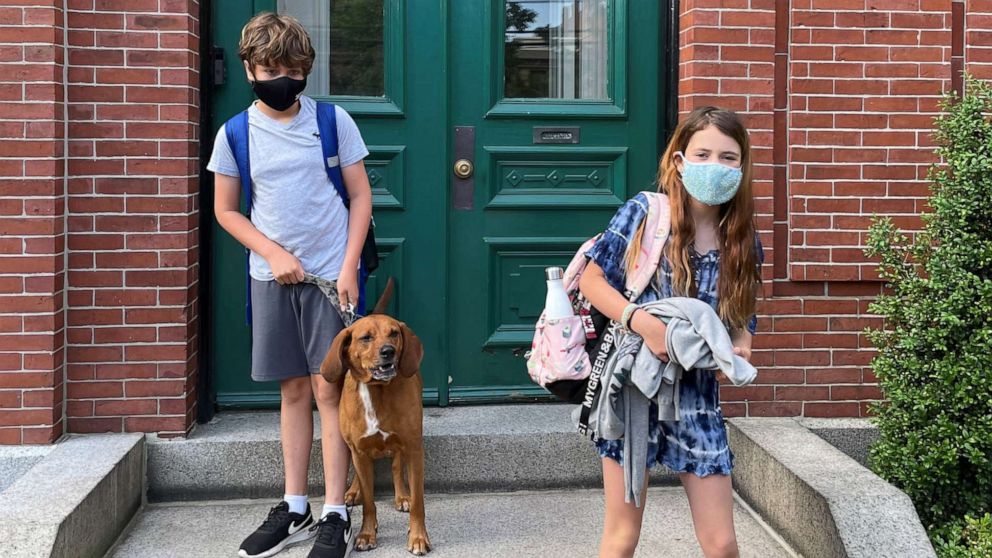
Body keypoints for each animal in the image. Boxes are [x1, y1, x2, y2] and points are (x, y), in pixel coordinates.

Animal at [318, 284, 426, 556]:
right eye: (366, 338)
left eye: (394, 333)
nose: (388, 351)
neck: (377, 391)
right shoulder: (359, 448)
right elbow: (369, 502)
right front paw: (367, 533)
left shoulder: (413, 447)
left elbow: (418, 501)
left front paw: (418, 537)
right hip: (354, 447)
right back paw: (353, 490)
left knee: (397, 466)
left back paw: (401, 495)